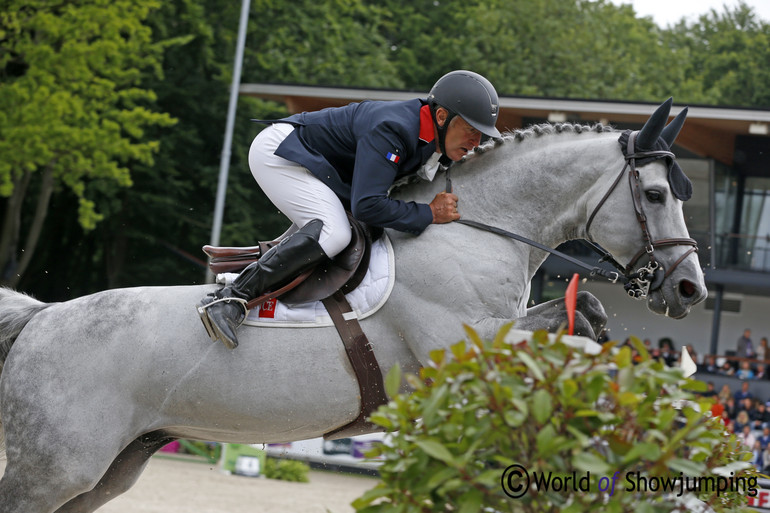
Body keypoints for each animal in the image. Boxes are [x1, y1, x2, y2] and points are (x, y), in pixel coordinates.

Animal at [0, 99, 704, 508]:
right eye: (656, 194)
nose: (690, 289)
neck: (476, 229)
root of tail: (40, 318)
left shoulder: (498, 332)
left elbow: (586, 320)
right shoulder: (467, 347)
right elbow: (576, 339)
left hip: (112, 468)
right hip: (54, 470)